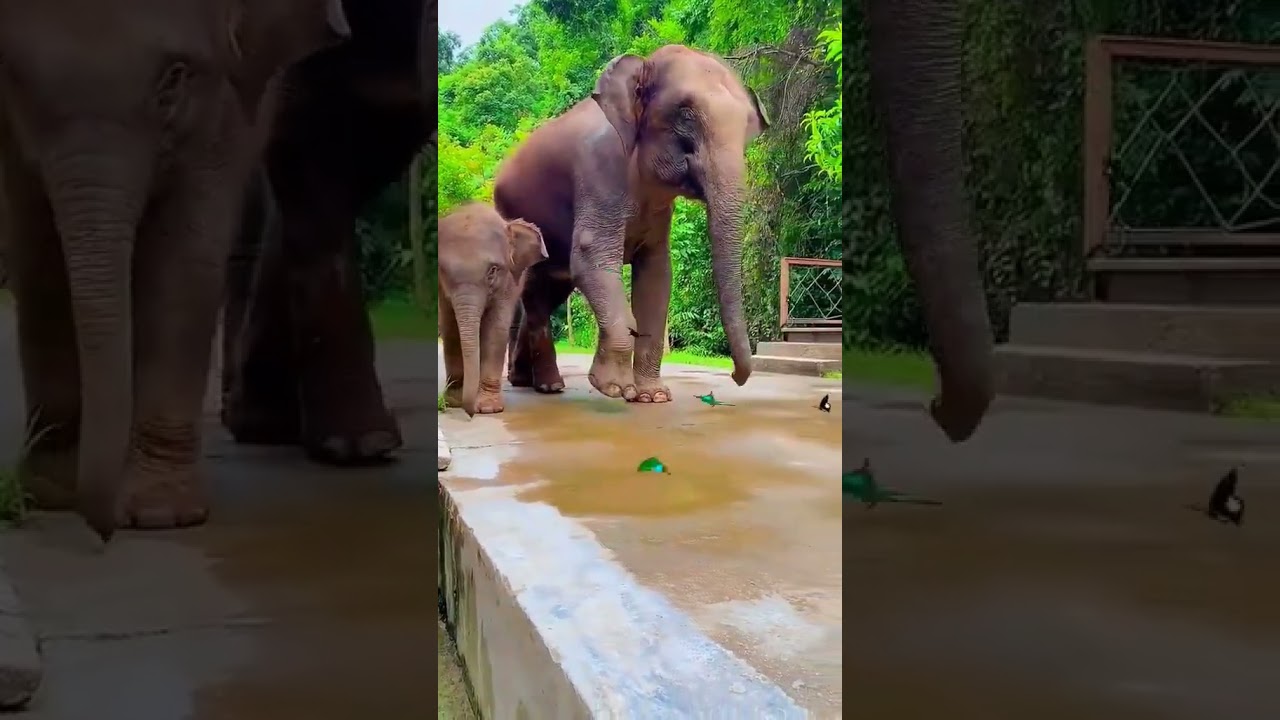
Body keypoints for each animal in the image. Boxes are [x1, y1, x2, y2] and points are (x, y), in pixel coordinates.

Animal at [0, 0, 351, 540]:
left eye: (175, 78)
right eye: (14, 78)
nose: (103, 530)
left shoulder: (224, 99)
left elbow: (182, 254)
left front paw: (159, 516)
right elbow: (36, 250)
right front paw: (50, 496)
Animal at [438, 204, 547, 416]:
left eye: (493, 270)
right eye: (443, 271)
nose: (470, 413)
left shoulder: (508, 283)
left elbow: (495, 329)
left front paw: (488, 409)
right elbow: (450, 329)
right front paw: (453, 402)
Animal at [494, 44, 767, 405]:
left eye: (748, 127)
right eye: (686, 115)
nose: (735, 377)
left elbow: (657, 275)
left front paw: (653, 396)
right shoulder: (599, 172)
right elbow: (592, 259)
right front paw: (613, 388)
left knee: (546, 291)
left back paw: (534, 382)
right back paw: (546, 385)